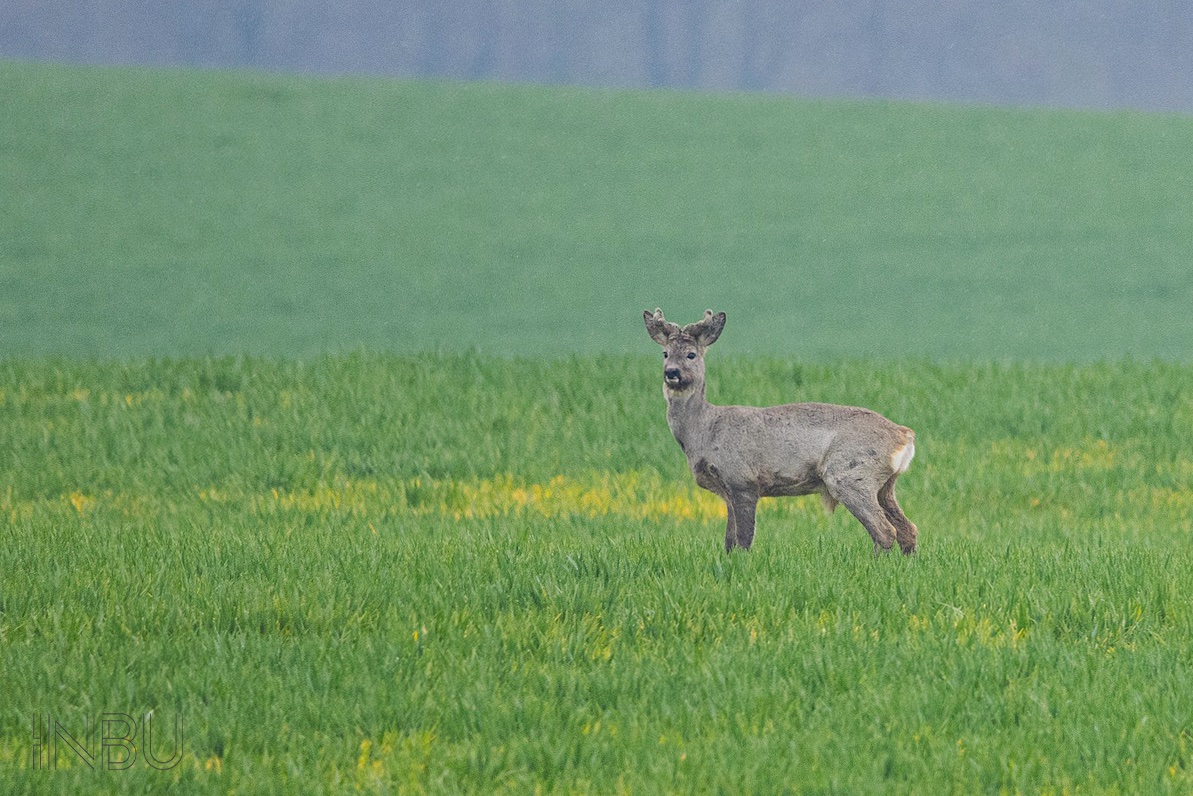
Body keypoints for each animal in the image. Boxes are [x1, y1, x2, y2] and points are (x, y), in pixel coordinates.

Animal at [648, 310, 916, 553]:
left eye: (691, 354)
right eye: (665, 353)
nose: (672, 372)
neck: (704, 431)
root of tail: (904, 435)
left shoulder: (742, 480)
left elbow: (743, 539)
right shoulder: (726, 491)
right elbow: (729, 542)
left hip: (851, 474)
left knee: (884, 531)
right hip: (884, 485)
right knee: (908, 529)